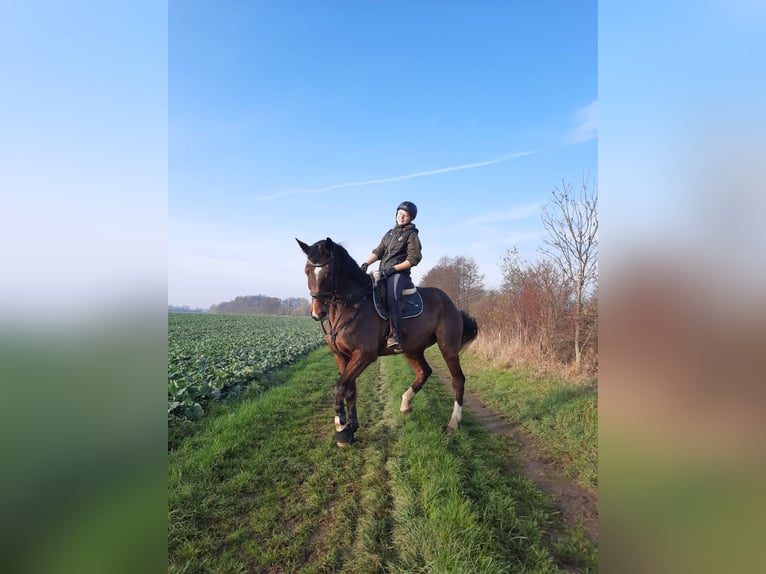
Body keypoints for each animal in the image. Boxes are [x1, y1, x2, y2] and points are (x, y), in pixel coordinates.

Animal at [296, 236, 476, 448]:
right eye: (307, 270)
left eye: (329, 272)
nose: (317, 313)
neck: (350, 306)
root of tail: (450, 303)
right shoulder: (341, 356)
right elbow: (350, 389)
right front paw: (351, 428)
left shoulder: (364, 355)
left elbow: (339, 387)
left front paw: (341, 428)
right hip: (412, 349)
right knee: (424, 372)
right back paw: (405, 404)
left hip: (448, 348)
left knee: (458, 380)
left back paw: (453, 423)